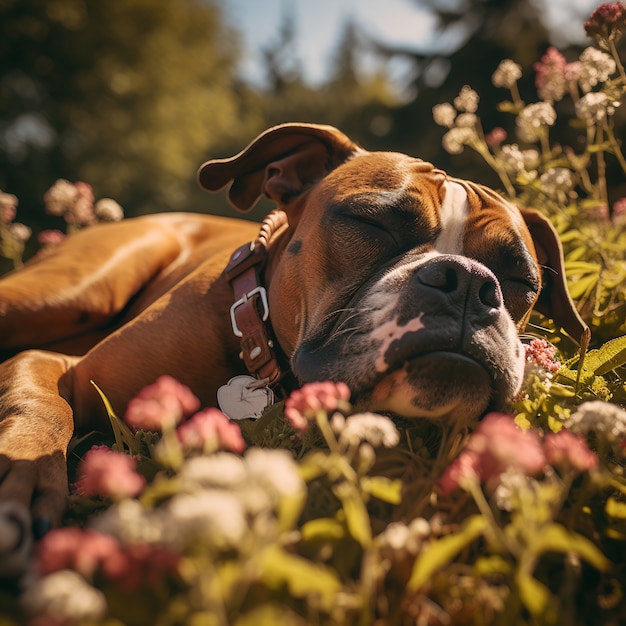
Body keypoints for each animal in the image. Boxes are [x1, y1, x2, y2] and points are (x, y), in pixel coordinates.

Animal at [0, 124, 584, 564]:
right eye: (370, 223)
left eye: (520, 279)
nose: (467, 283)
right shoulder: (61, 370)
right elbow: (42, 408)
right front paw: (22, 473)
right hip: (72, 291)